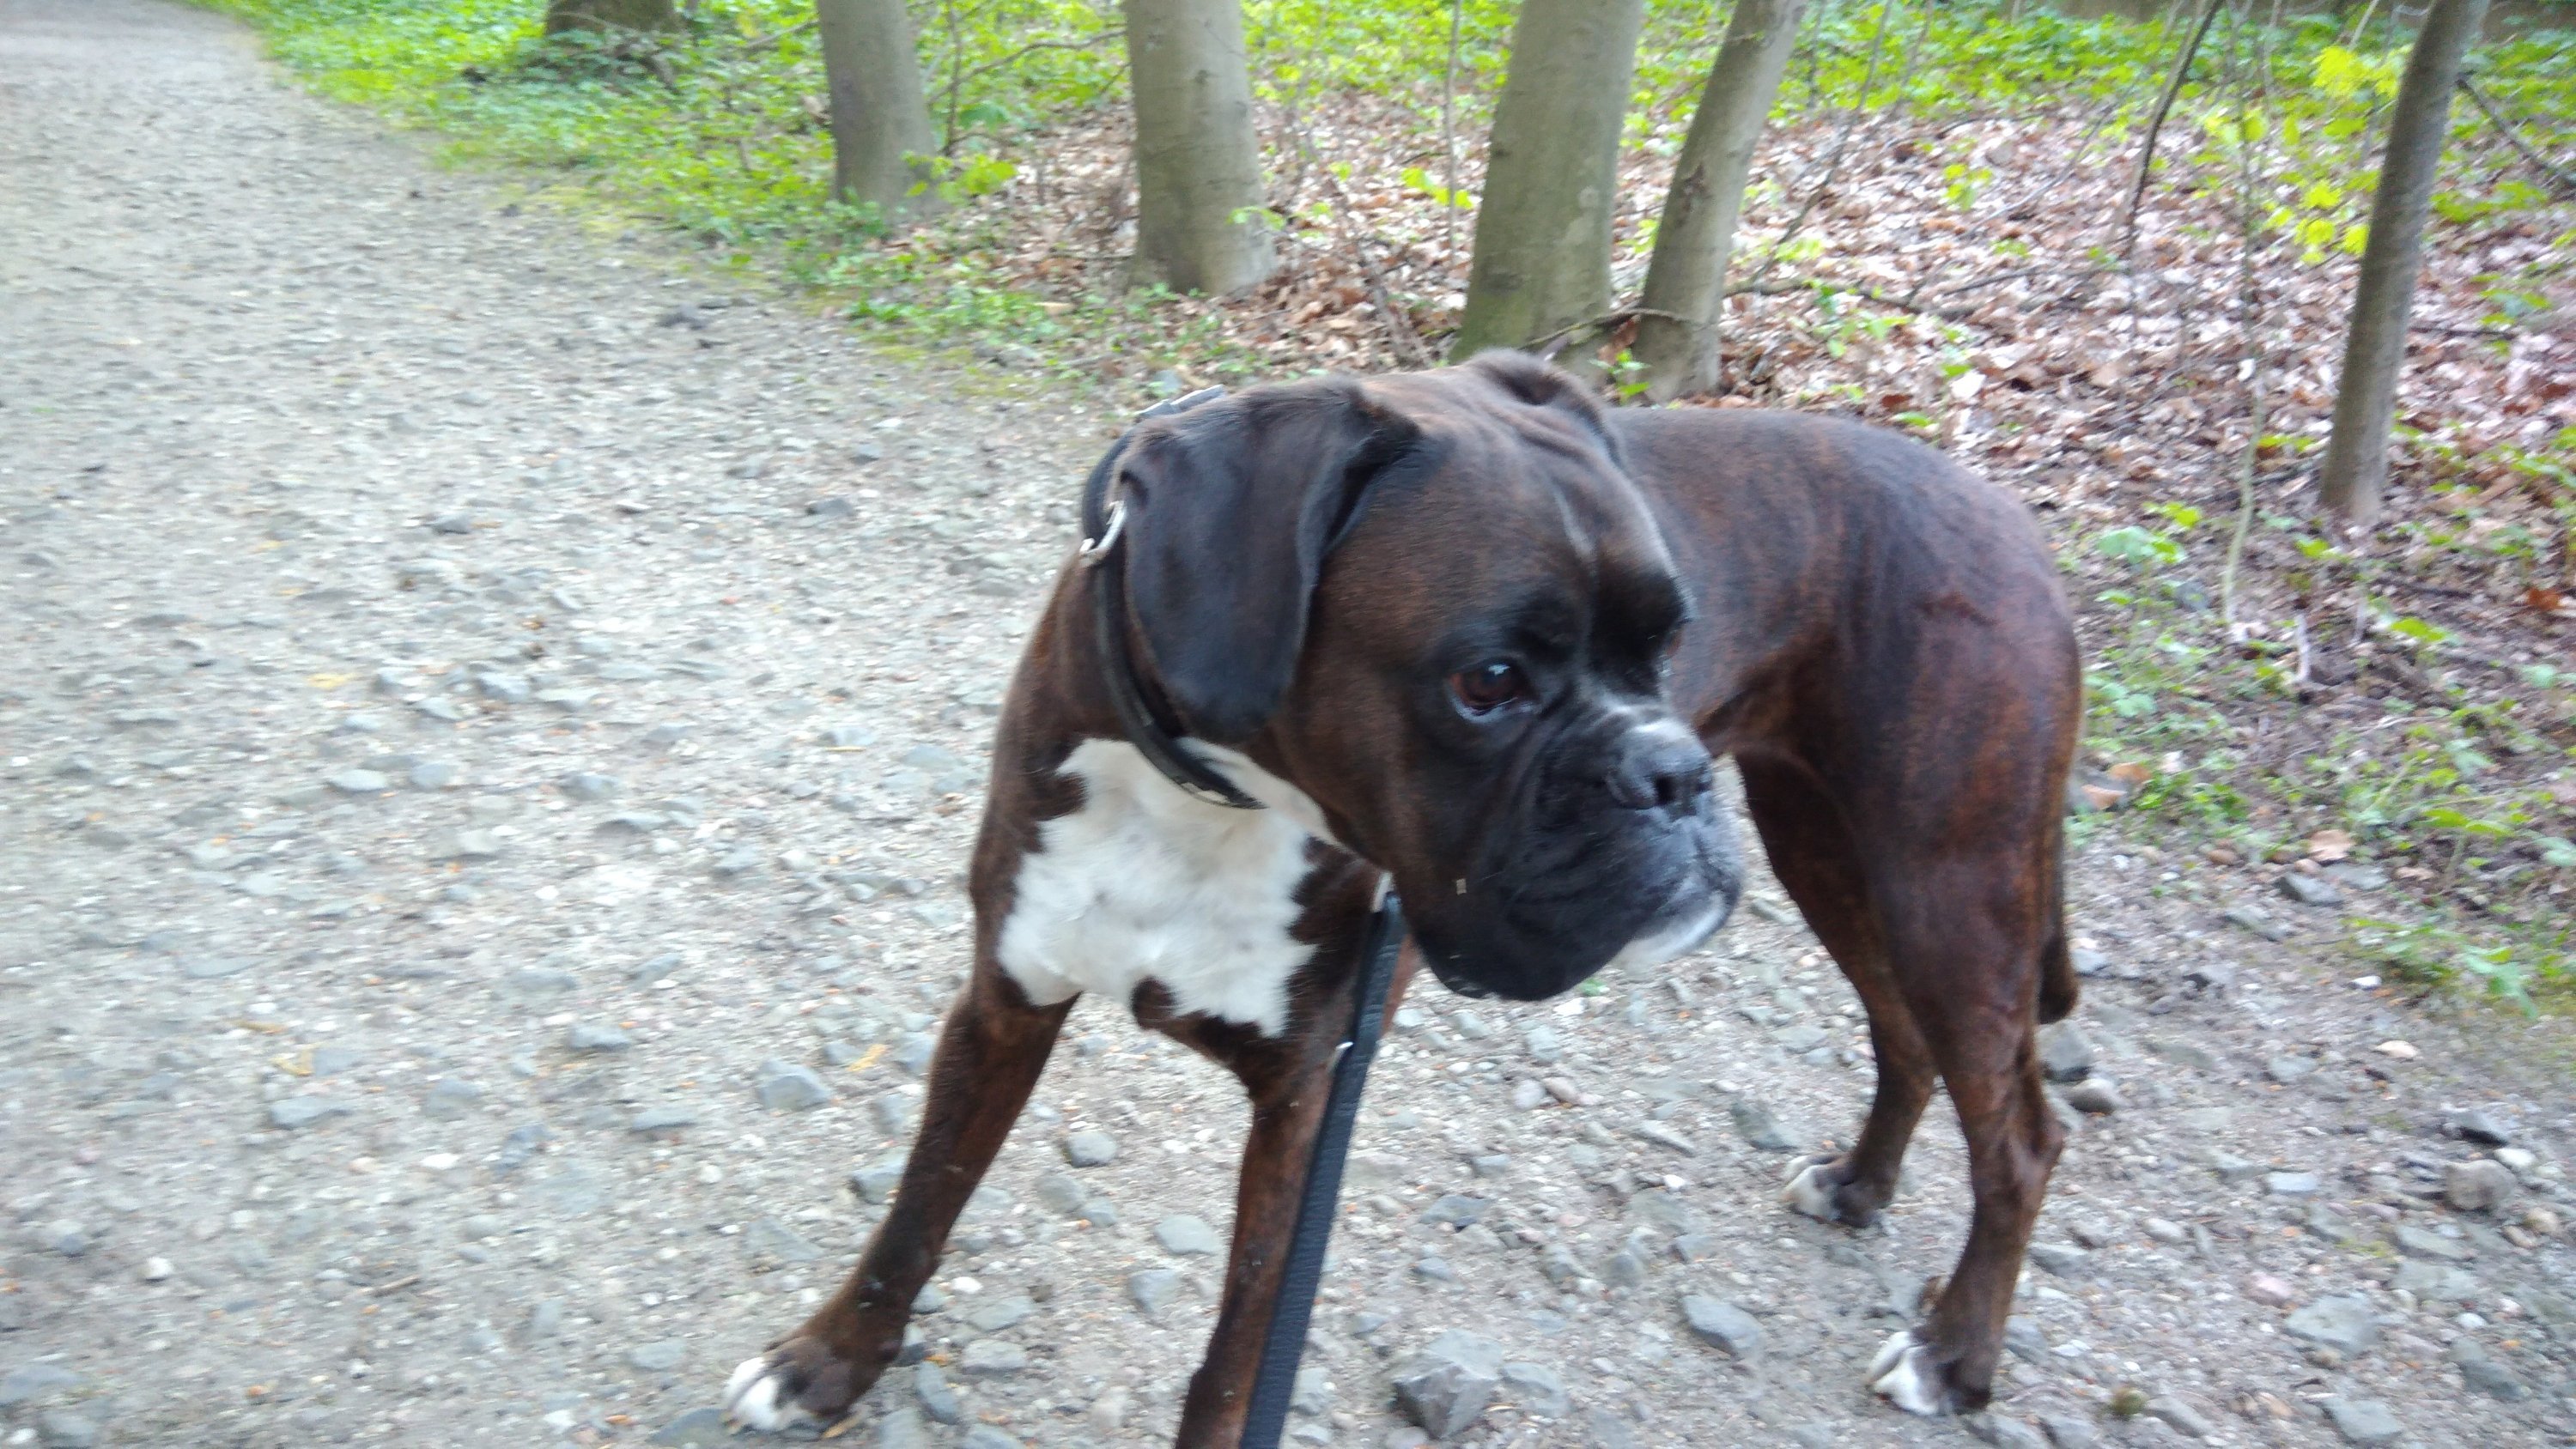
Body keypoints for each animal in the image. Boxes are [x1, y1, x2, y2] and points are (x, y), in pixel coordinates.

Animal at [726, 347, 2092, 1441]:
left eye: (1668, 645)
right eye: (1487, 682)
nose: (1669, 767)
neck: (1203, 793)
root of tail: (2017, 523)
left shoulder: (1304, 1099)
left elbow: (1236, 1355)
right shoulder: (1005, 1001)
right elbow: (919, 1207)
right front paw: (828, 1363)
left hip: (1946, 883)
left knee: (2020, 1133)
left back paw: (1952, 1356)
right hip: (1838, 855)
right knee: (1904, 1037)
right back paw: (1858, 1187)